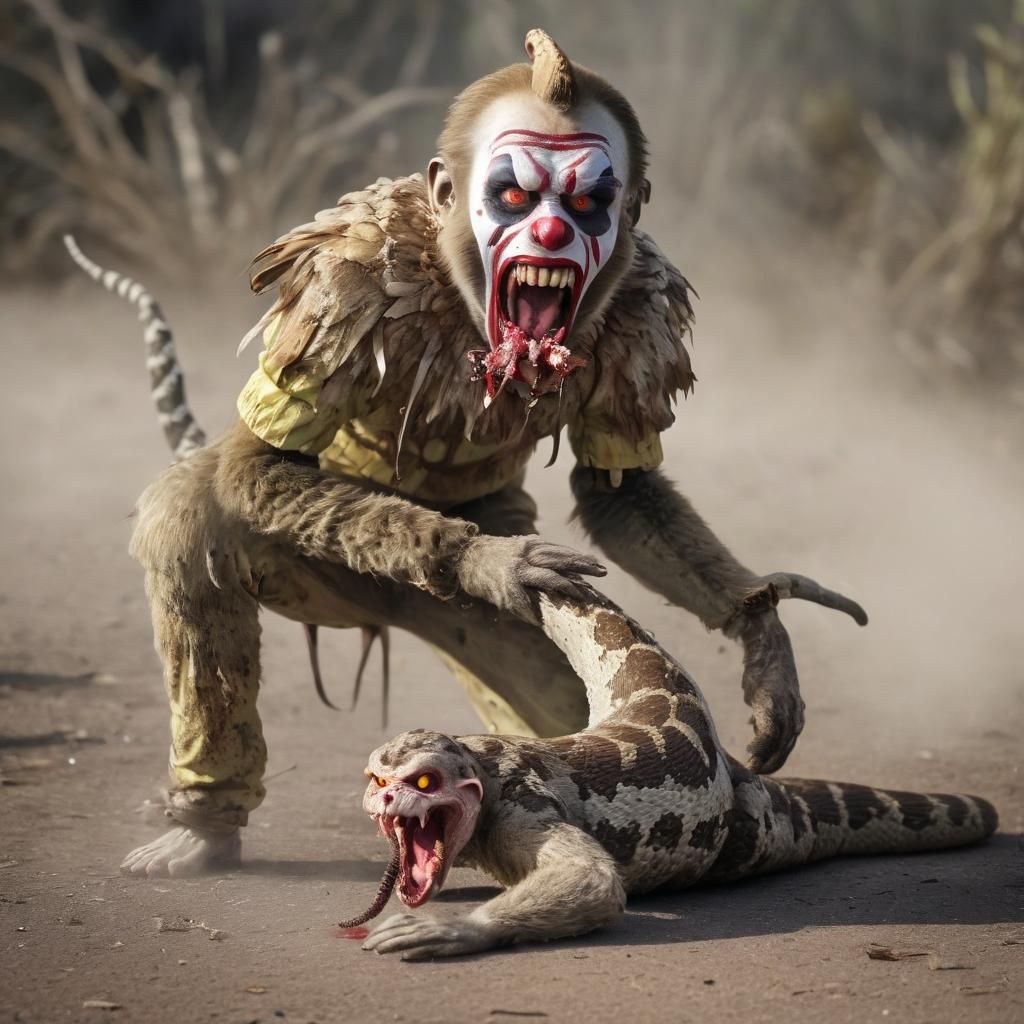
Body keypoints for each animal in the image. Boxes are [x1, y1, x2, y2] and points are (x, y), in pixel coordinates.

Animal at [68, 30, 866, 878]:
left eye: (588, 202)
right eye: (514, 195)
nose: (551, 234)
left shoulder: (646, 312)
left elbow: (619, 487)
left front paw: (764, 643)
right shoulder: (334, 288)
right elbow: (260, 465)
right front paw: (491, 561)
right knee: (194, 515)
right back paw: (203, 826)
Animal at [340, 590, 995, 959]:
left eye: (425, 783)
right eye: (377, 780)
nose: (387, 801)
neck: (483, 767)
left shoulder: (521, 807)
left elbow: (593, 879)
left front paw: (459, 930)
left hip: (754, 815)